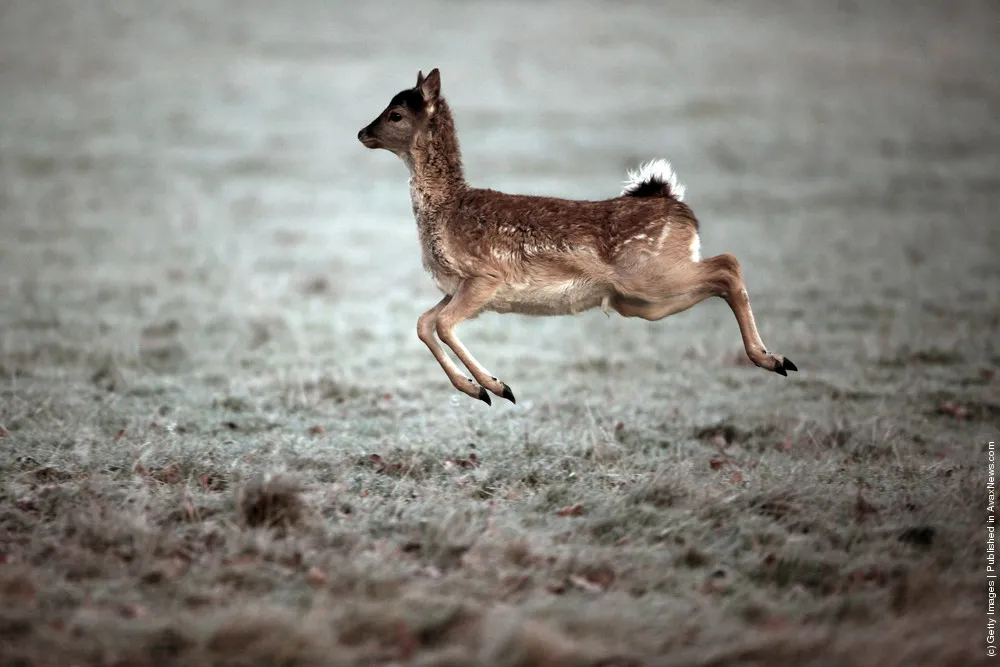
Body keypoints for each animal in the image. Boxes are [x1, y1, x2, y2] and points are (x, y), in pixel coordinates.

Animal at [357, 68, 796, 406]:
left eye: (396, 113)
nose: (362, 132)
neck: (445, 212)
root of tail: (674, 203)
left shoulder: (484, 277)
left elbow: (444, 325)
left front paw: (496, 386)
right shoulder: (457, 287)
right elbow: (424, 323)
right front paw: (478, 389)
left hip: (651, 275)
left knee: (729, 263)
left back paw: (774, 359)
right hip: (640, 301)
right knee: (720, 276)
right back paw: (775, 359)